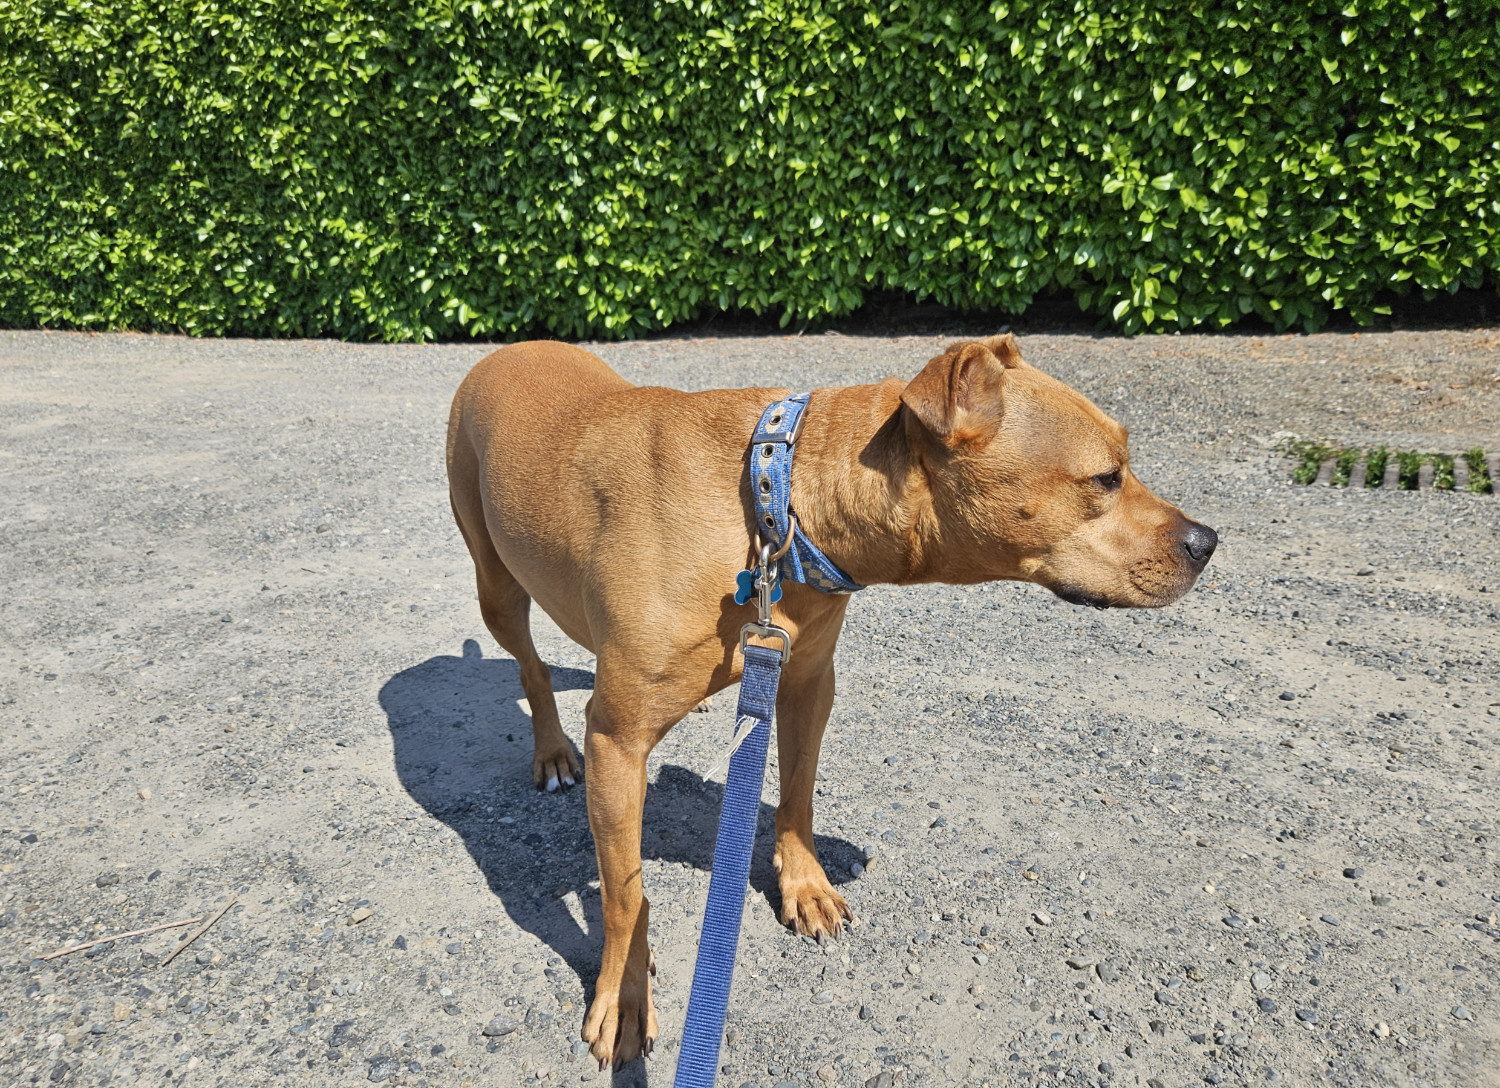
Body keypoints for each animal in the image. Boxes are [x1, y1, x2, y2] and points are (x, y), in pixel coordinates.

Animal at [438, 334, 1212, 1062]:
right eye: (1105, 477)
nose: (1209, 541)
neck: (772, 504)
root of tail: (508, 351)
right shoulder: (616, 740)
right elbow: (627, 894)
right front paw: (624, 996)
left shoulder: (807, 680)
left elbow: (798, 795)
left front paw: (804, 885)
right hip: (494, 584)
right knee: (532, 669)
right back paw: (550, 751)